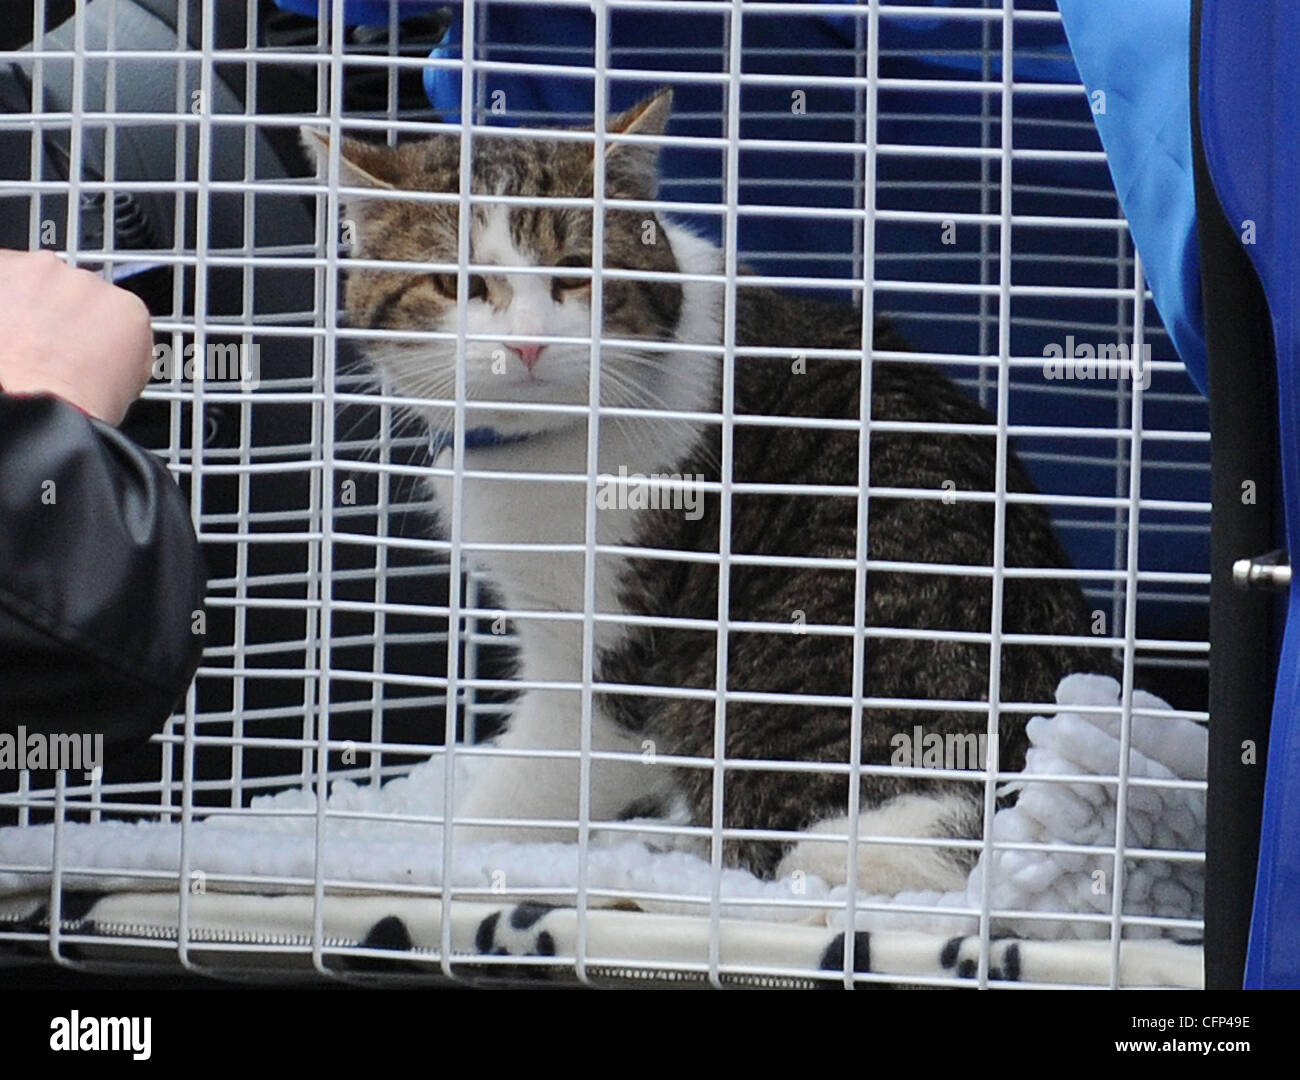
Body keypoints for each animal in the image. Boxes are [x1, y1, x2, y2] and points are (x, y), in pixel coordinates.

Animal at [304, 88, 1107, 888]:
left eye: (575, 270)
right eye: (455, 283)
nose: (526, 343)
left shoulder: (613, 659)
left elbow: (521, 793)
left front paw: (434, 861)